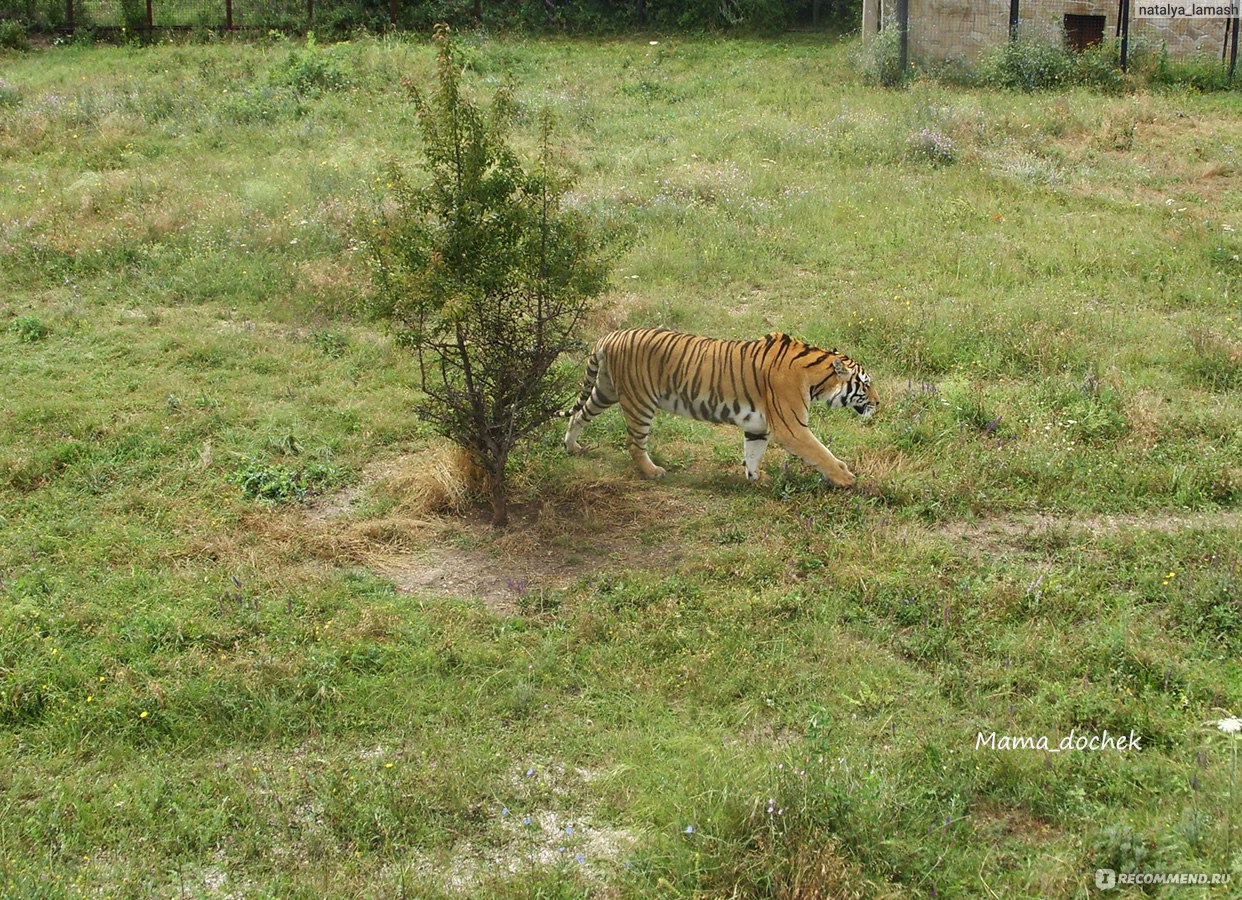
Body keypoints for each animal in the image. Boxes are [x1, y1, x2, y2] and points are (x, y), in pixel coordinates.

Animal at [568, 327, 879, 484]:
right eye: (865, 384)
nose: (878, 402)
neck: (816, 378)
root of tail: (610, 335)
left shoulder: (758, 426)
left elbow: (753, 454)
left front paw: (756, 478)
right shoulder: (791, 427)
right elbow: (820, 453)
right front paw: (845, 477)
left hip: (605, 390)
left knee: (577, 415)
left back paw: (572, 447)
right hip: (639, 402)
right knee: (634, 443)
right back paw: (652, 471)